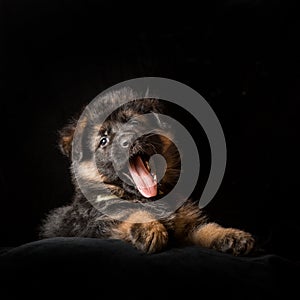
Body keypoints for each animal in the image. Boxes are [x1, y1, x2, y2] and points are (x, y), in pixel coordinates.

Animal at [39, 87, 254, 255]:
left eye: (134, 122)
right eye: (103, 140)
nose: (128, 141)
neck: (148, 197)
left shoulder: (187, 226)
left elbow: (205, 228)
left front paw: (230, 234)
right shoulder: (98, 224)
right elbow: (129, 213)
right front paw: (148, 227)